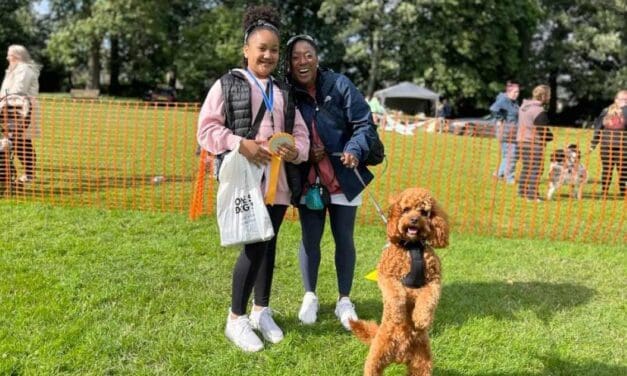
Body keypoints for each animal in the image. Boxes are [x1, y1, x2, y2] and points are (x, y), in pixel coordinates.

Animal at [350, 188, 448, 376]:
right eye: (406, 209)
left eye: (424, 212)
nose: (414, 220)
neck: (412, 247)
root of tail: (400, 355)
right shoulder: (386, 275)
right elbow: (396, 294)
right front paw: (397, 314)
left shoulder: (433, 281)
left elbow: (428, 299)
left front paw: (421, 319)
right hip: (376, 359)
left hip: (422, 364)